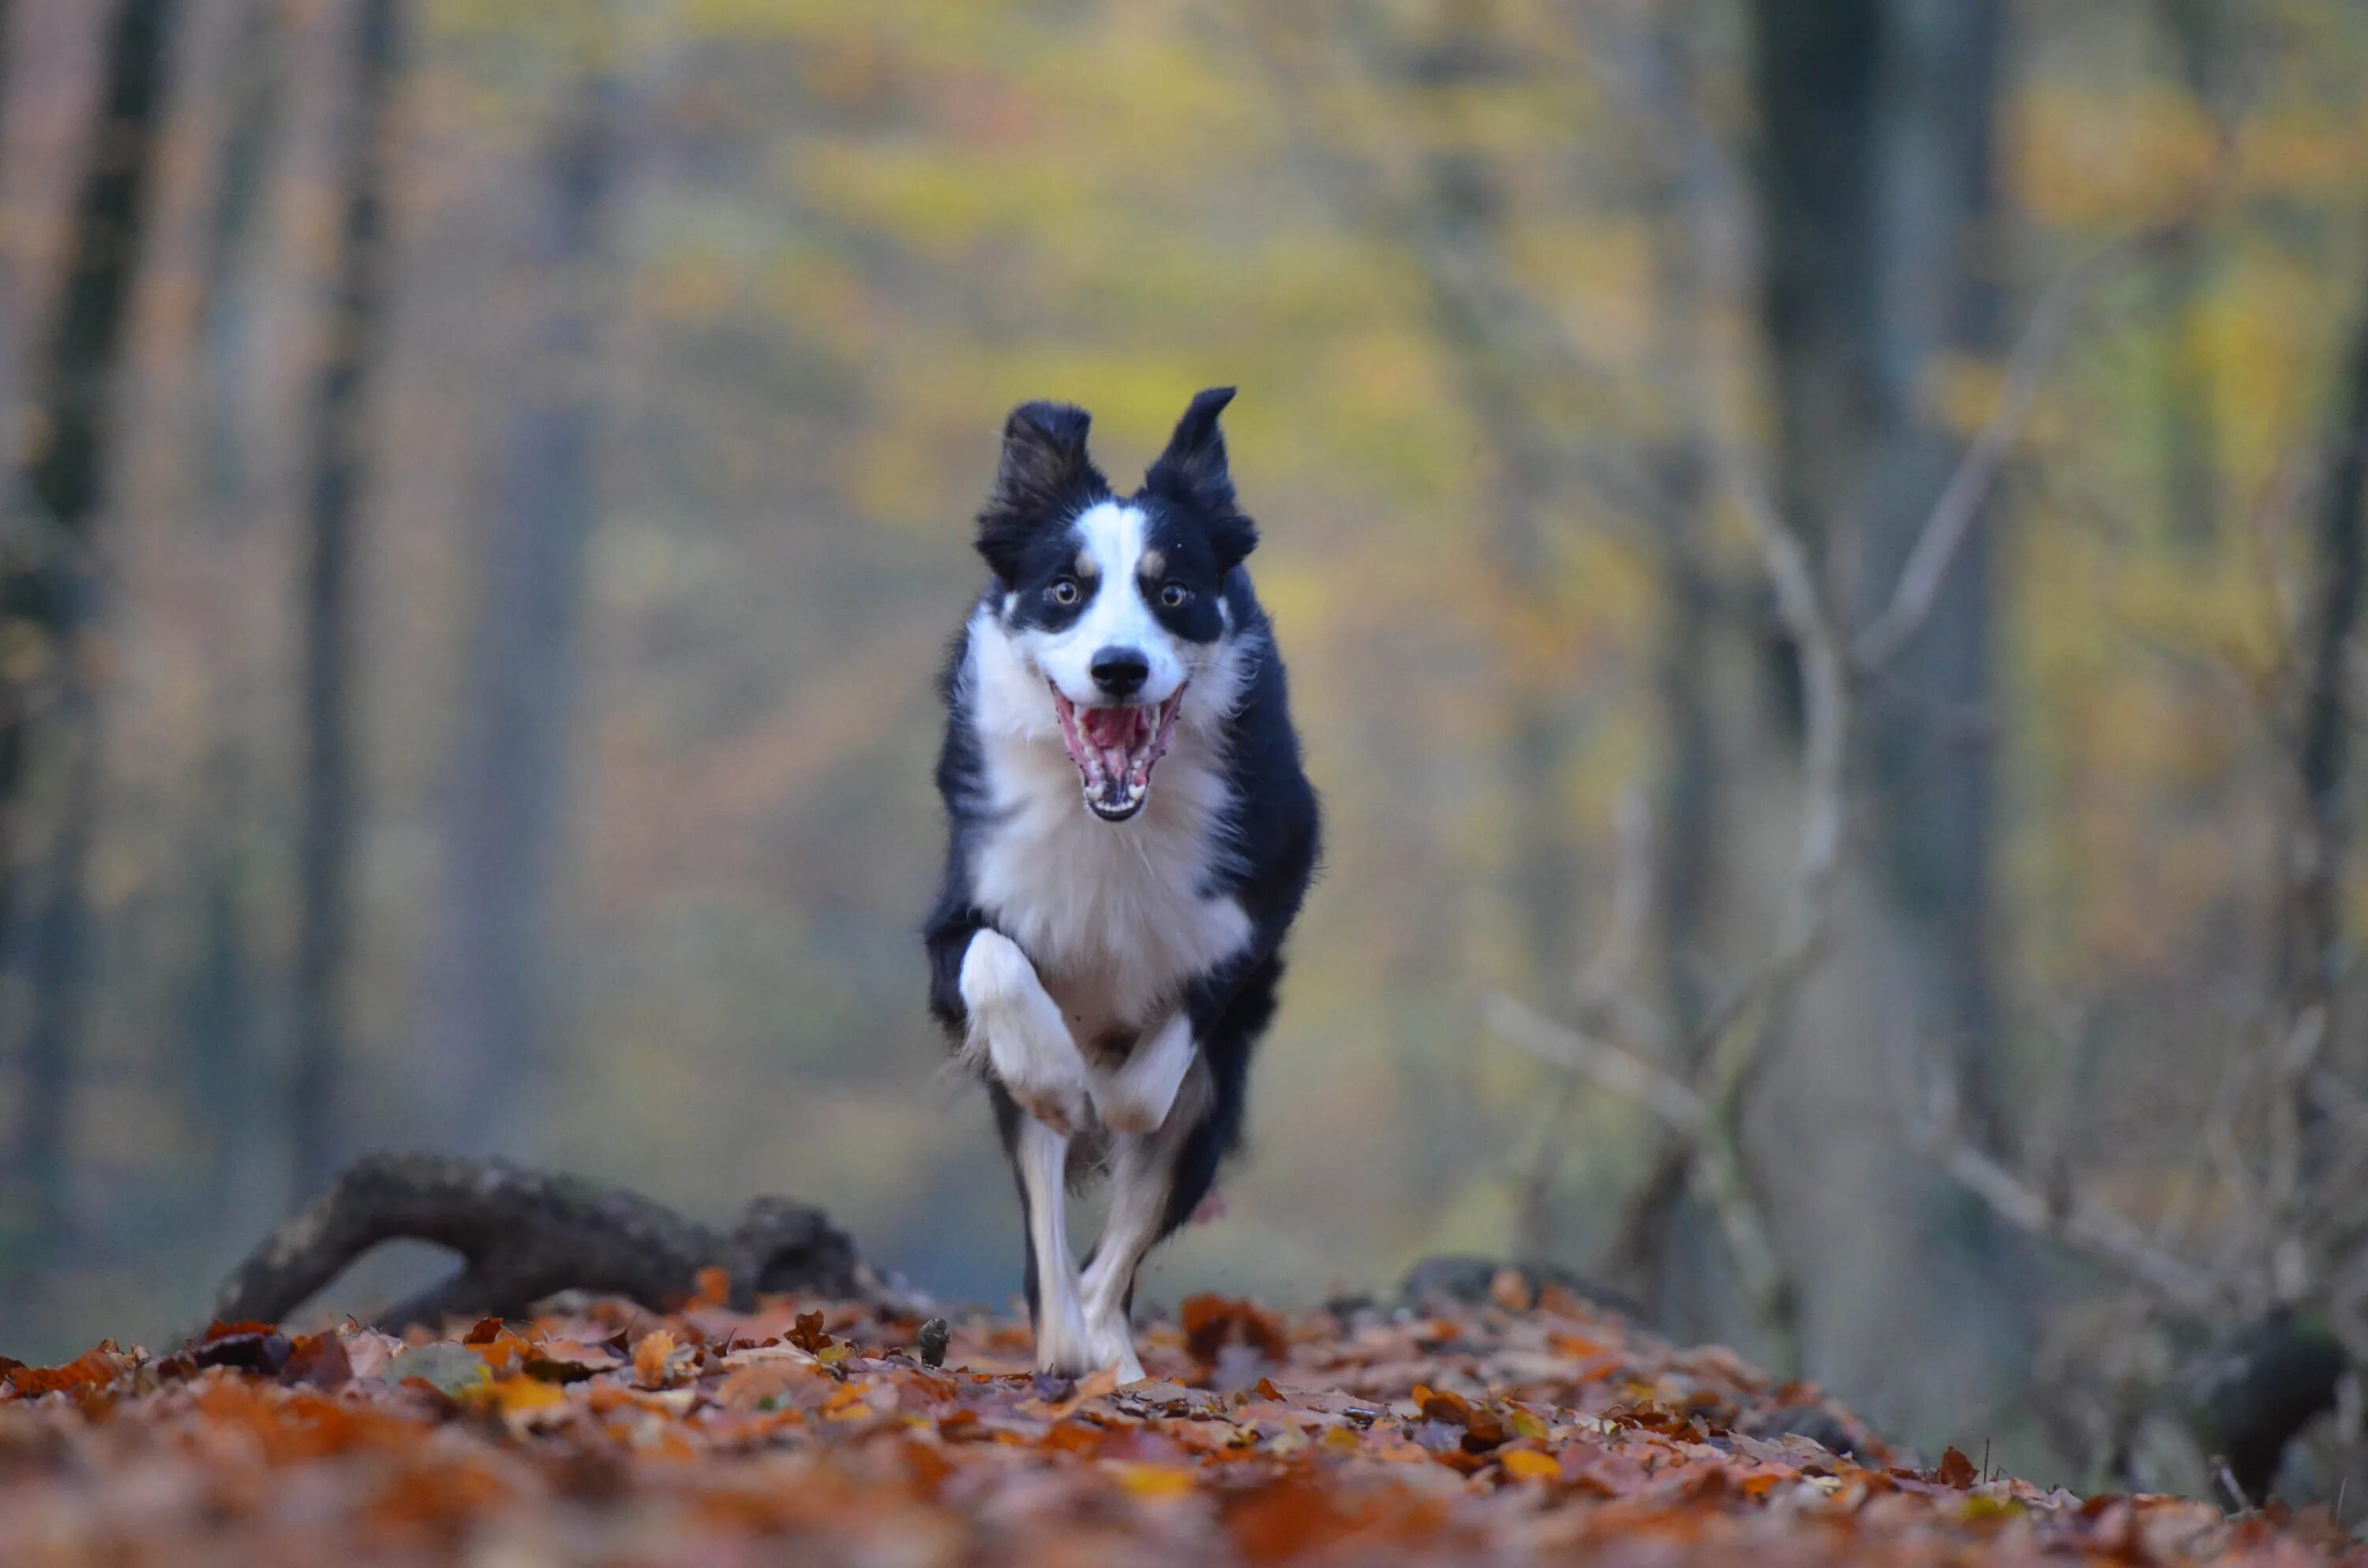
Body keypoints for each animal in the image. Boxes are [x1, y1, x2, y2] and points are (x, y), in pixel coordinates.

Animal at [924, 393, 1326, 1392]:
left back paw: (1106, 1346)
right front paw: (1064, 1077)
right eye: (1066, 591)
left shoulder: (1258, 901)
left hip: (1213, 1105)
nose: (1118, 668)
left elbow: (1156, 1075)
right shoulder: (966, 908)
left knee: (1121, 1242)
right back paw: (1067, 1340)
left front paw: (1112, 1091)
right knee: (1047, 1230)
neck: (1111, 820)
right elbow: (997, 967)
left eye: (1171, 592)